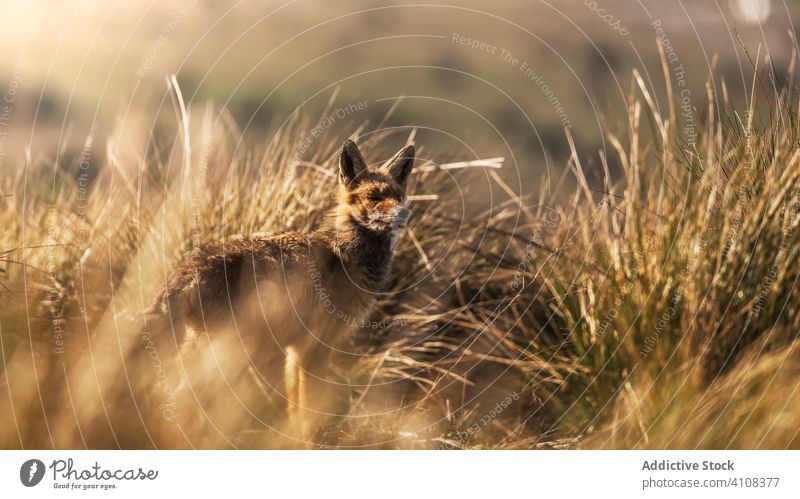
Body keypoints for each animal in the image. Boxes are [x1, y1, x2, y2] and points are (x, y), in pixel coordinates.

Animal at [128, 139, 416, 448]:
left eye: (399, 197)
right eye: (374, 197)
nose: (404, 214)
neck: (345, 258)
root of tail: (188, 269)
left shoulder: (296, 348)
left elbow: (295, 404)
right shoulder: (315, 346)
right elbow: (310, 405)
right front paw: (314, 442)